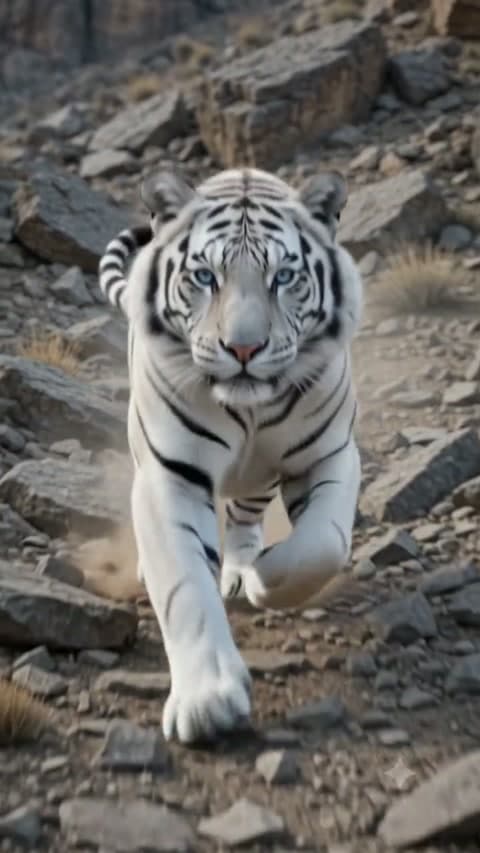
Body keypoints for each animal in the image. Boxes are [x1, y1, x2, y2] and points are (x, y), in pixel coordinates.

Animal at [98, 166, 363, 745]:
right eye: (204, 277)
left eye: (284, 277)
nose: (243, 349)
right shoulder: (169, 476)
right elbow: (185, 586)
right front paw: (207, 701)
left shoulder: (330, 453)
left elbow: (323, 544)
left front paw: (265, 579)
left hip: (258, 477)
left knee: (245, 514)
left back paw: (243, 567)